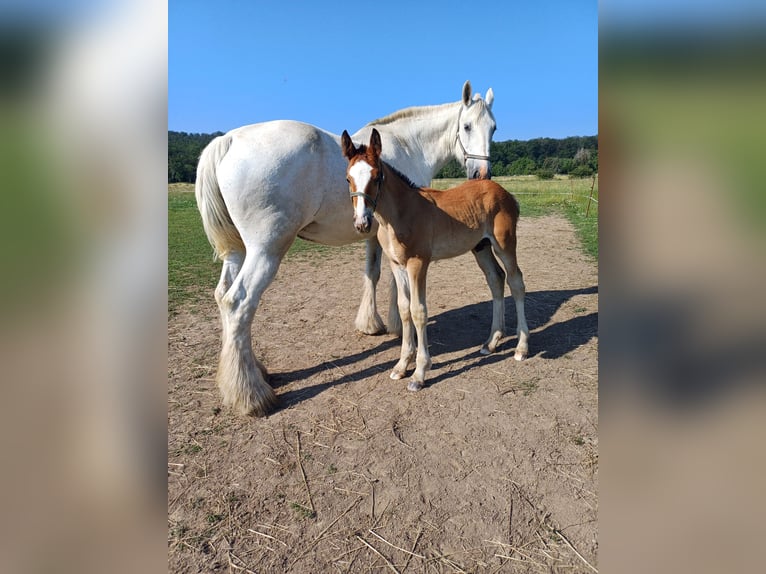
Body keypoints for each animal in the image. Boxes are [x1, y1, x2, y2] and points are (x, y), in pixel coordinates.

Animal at [196, 81, 498, 416]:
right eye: (467, 126)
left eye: (493, 128)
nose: (481, 176)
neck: (409, 145)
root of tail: (229, 140)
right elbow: (395, 286)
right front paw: (396, 328)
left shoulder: (375, 233)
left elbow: (372, 275)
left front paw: (372, 324)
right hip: (265, 251)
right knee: (238, 303)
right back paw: (251, 394)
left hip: (238, 252)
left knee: (223, 297)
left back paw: (250, 372)